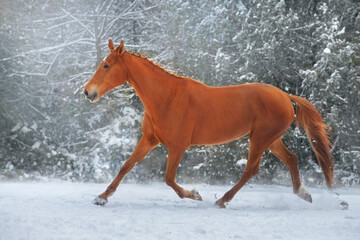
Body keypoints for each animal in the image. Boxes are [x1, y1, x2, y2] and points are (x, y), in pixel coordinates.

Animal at [83, 39, 334, 208]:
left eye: (106, 65)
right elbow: (126, 166)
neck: (166, 98)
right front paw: (101, 197)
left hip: (260, 139)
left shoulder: (178, 147)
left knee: (251, 169)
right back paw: (303, 194)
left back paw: (222, 200)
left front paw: (195, 194)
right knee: (291, 159)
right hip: (271, 140)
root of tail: (285, 96)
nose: (87, 92)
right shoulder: (149, 140)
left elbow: (169, 178)